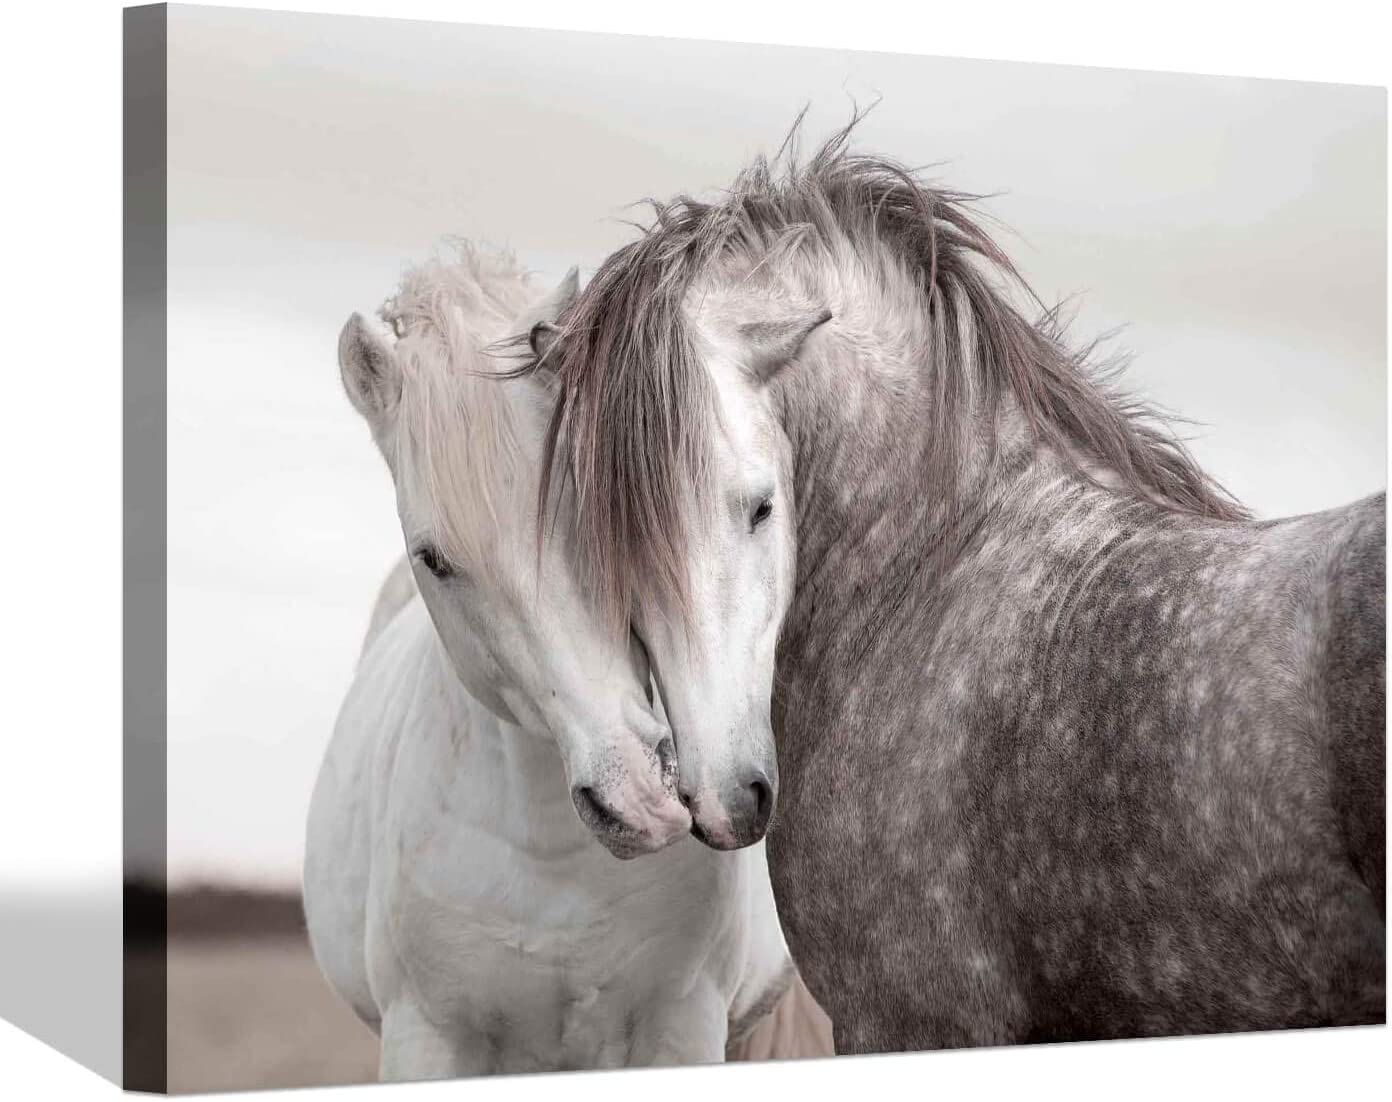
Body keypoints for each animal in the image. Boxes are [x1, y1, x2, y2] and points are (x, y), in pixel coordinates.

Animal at [302, 243, 808, 1078]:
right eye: (434, 558)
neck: (555, 863)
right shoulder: (425, 1037)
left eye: (594, 501)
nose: (638, 796)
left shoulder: (683, 1025)